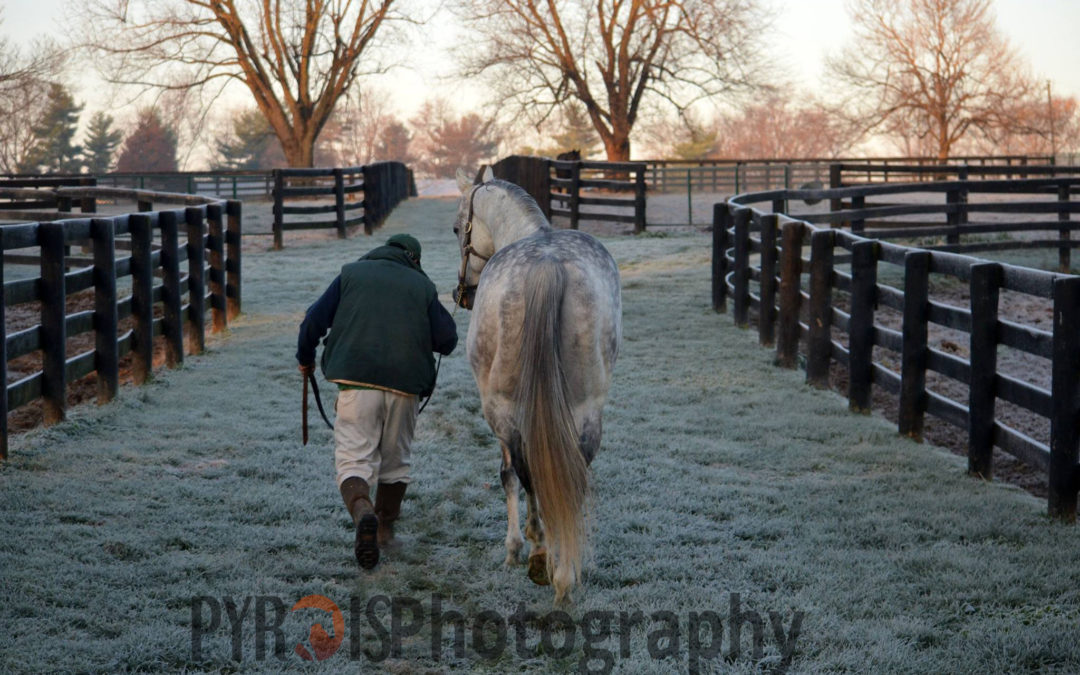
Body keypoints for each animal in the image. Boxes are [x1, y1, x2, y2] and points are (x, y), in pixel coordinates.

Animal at [449, 168, 617, 600]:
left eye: (457, 227)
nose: (463, 293)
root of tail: (546, 263)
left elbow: (508, 476)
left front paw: (514, 548)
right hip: (588, 409)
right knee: (572, 475)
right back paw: (566, 572)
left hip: (502, 409)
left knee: (524, 472)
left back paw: (540, 553)